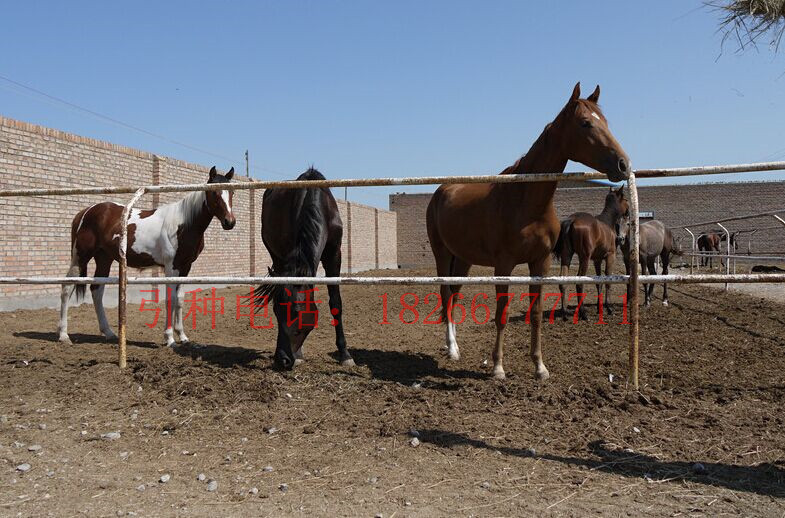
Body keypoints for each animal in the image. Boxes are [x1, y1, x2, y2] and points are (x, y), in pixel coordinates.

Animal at [58, 167, 236, 348]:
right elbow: (170, 299)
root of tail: (84, 212)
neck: (183, 224)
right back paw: (64, 335)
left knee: (96, 290)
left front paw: (183, 336)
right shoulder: (171, 267)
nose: (230, 222)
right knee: (67, 288)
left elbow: (179, 299)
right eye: (214, 192)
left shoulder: (186, 267)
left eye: (232, 192)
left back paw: (109, 332)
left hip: (104, 258)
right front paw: (170, 338)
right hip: (80, 257)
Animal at [256, 169, 350, 372]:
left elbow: (336, 303)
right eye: (275, 312)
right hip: (276, 256)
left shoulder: (334, 255)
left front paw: (345, 354)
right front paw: (298, 355)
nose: (282, 360)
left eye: (297, 312)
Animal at [556, 185, 628, 322]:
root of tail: (572, 220)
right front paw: (608, 308)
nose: (628, 213)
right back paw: (583, 313)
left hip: (566, 256)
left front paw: (599, 308)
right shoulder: (610, 256)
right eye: (626, 199)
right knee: (579, 282)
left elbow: (598, 282)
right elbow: (607, 279)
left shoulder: (597, 260)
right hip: (584, 257)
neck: (607, 222)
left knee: (563, 281)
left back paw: (564, 313)